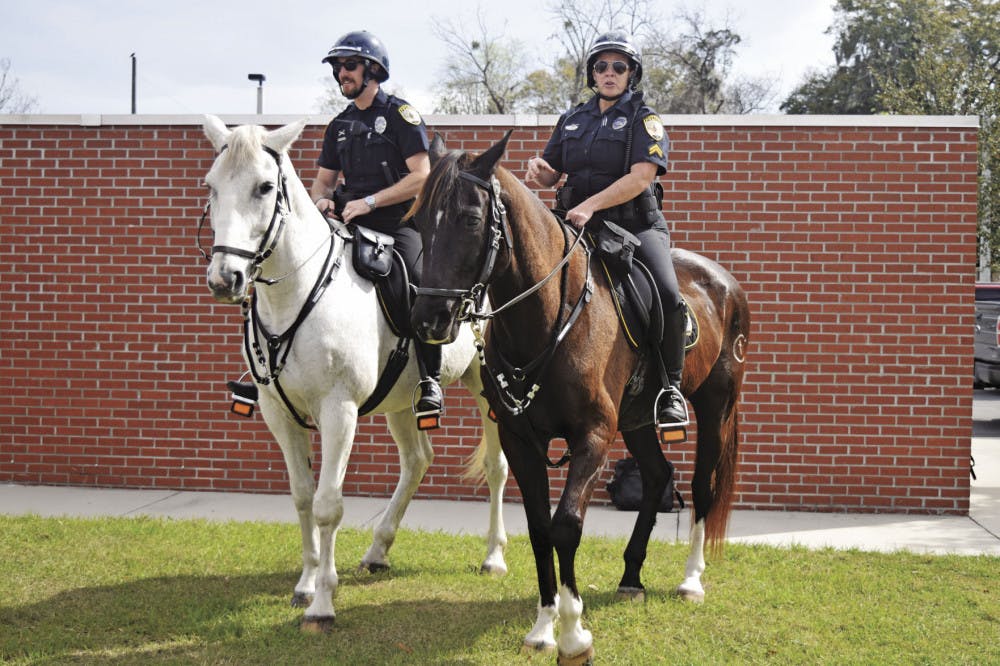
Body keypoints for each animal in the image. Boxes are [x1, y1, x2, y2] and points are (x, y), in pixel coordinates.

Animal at [199, 115, 509, 632]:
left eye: (265, 187)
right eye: (211, 186)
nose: (226, 280)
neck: (298, 294)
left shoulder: (338, 411)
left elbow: (329, 505)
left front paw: (323, 602)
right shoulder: (277, 414)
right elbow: (303, 496)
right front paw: (306, 582)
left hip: (487, 388)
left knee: (496, 467)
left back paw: (494, 556)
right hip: (402, 400)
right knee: (417, 460)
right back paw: (379, 548)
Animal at [409, 132, 750, 663]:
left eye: (469, 218)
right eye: (421, 219)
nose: (428, 319)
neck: (549, 315)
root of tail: (725, 283)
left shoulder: (592, 436)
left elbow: (566, 526)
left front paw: (573, 634)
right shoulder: (521, 440)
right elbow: (538, 528)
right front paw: (543, 626)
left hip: (717, 406)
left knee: (701, 488)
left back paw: (691, 581)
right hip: (636, 421)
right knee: (658, 477)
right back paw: (631, 576)